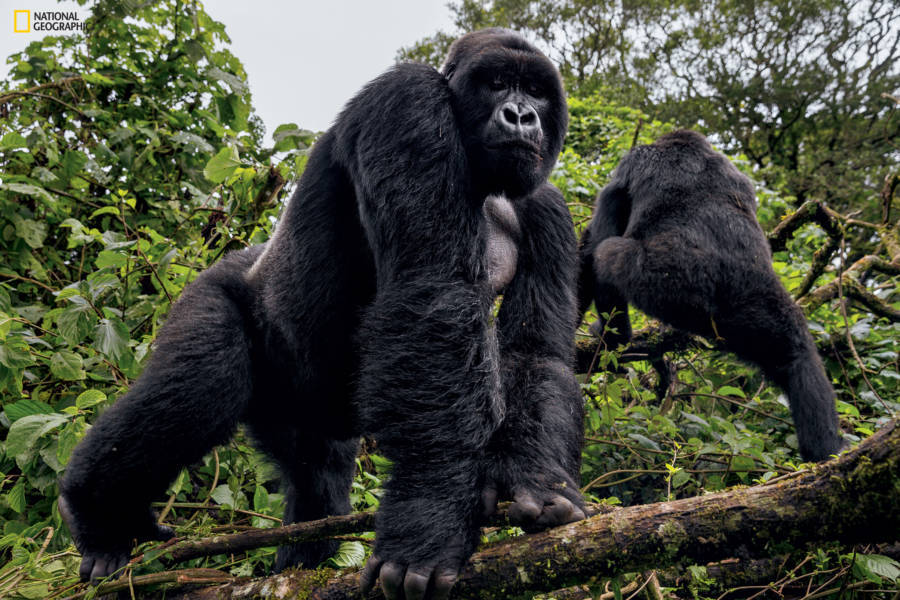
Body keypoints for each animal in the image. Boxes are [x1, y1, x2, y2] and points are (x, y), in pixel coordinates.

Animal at [59, 29, 588, 600]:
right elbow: (434, 299)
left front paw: (537, 480)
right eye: (496, 83)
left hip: (300, 411)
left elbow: (535, 353)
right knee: (198, 389)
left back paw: (297, 566)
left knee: (318, 478)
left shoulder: (548, 209)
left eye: (535, 91)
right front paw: (428, 520)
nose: (520, 115)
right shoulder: (406, 102)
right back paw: (95, 512)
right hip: (212, 291)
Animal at [576, 129, 844, 462]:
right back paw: (826, 454)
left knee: (606, 252)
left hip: (663, 280)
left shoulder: (629, 166)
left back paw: (614, 338)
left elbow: (594, 239)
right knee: (798, 356)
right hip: (760, 307)